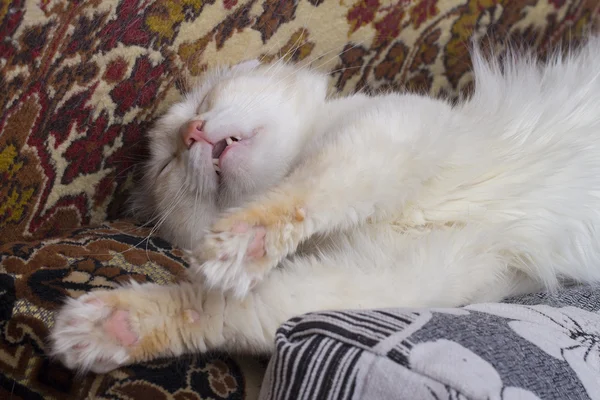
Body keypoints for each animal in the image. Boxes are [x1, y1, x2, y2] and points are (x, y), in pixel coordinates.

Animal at [49, 36, 600, 374]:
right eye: (168, 163)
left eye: (205, 102)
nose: (194, 133)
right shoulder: (383, 278)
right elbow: (218, 310)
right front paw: (113, 327)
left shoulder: (389, 131)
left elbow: (305, 191)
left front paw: (236, 245)